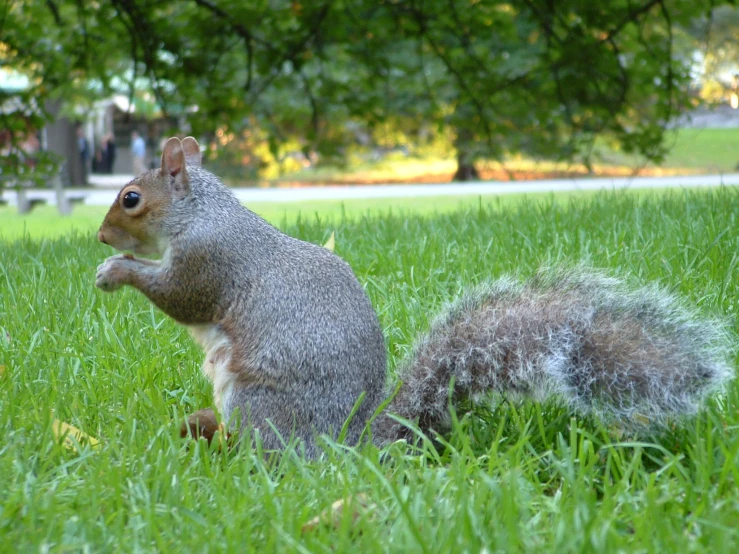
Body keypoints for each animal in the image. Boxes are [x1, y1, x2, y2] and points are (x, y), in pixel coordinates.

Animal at [95, 136, 736, 454]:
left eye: (131, 198)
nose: (99, 235)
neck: (201, 213)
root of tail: (347, 447)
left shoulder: (210, 262)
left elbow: (180, 297)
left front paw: (115, 269)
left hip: (259, 403)